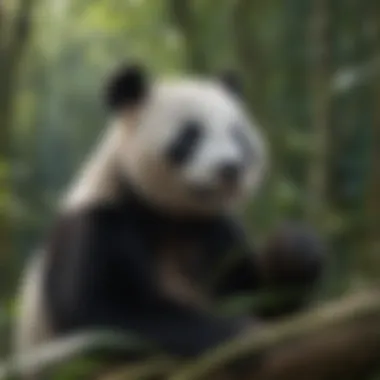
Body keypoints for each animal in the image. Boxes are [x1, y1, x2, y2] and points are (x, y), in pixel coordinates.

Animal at [14, 64, 324, 378]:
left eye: (238, 135)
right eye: (190, 136)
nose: (229, 169)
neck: (169, 214)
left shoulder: (214, 229)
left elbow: (266, 305)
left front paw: (293, 249)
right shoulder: (97, 222)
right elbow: (98, 311)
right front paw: (232, 336)